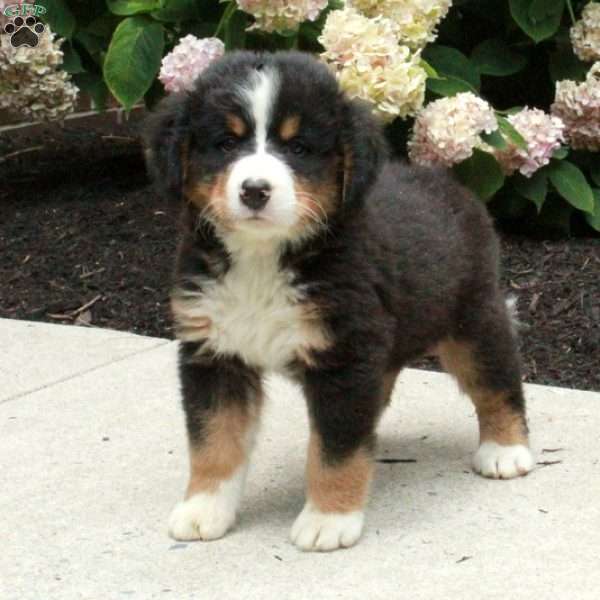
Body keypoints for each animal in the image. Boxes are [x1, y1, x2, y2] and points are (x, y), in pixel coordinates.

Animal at [145, 51, 536, 552]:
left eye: (298, 148)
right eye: (226, 143)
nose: (254, 190)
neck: (263, 259)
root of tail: (448, 185)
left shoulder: (344, 358)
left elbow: (335, 447)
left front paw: (328, 518)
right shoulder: (214, 351)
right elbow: (214, 439)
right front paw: (205, 508)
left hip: (473, 320)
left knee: (497, 380)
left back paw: (506, 449)